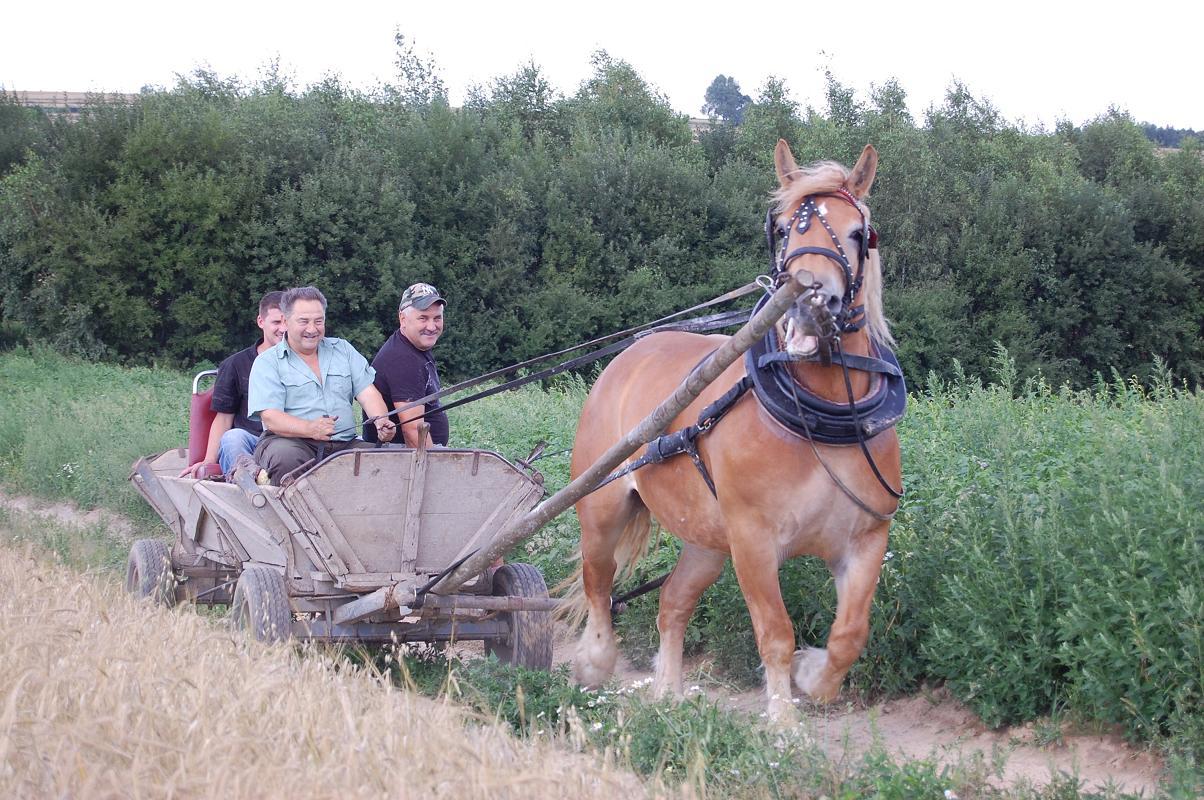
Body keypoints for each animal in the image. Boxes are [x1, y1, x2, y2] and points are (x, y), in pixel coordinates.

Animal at [563, 140, 905, 722]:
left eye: (859, 233)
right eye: (785, 228)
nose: (811, 301)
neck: (820, 421)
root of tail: (632, 351)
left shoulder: (864, 540)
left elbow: (849, 636)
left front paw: (813, 677)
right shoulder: (753, 540)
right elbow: (775, 633)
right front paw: (785, 724)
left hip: (706, 539)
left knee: (672, 603)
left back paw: (668, 696)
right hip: (603, 507)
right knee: (598, 581)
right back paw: (594, 660)